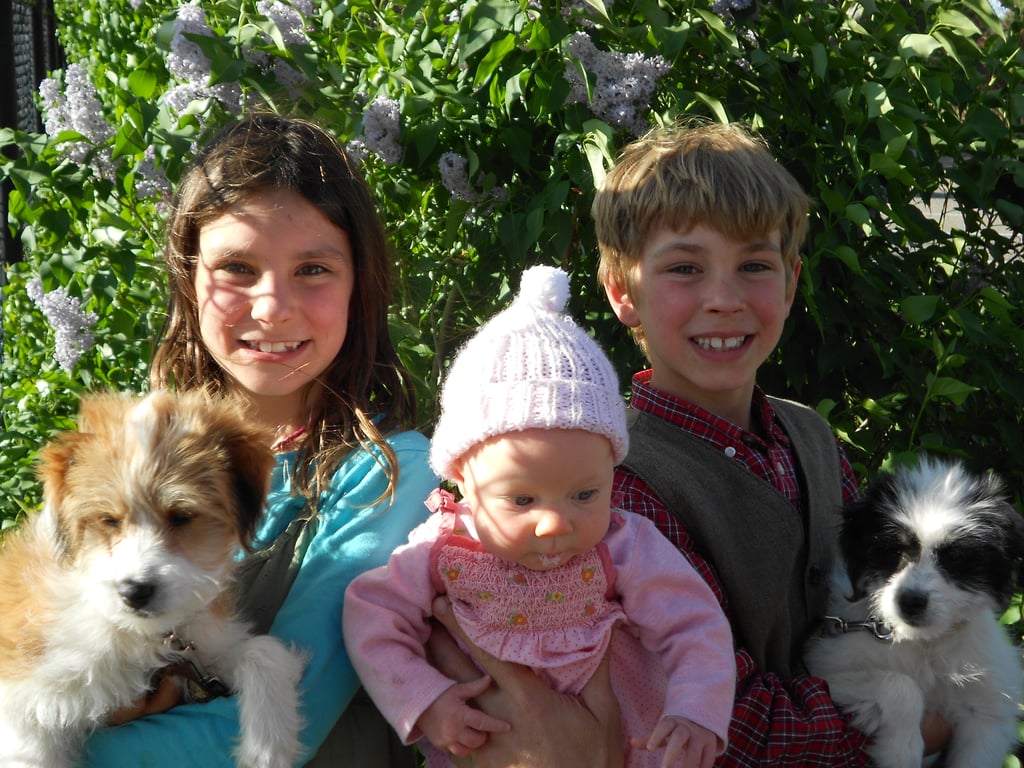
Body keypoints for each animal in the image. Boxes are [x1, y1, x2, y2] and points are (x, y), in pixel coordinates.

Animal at [0, 391, 303, 768]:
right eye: (108, 520)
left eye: (182, 516)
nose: (135, 592)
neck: (138, 634)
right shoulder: (24, 699)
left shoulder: (205, 650)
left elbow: (263, 650)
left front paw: (267, 745)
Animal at [806, 460, 1024, 765]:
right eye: (892, 550)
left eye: (956, 557)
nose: (910, 602)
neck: (924, 643)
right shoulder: (828, 668)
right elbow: (901, 685)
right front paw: (901, 752)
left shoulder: (987, 712)